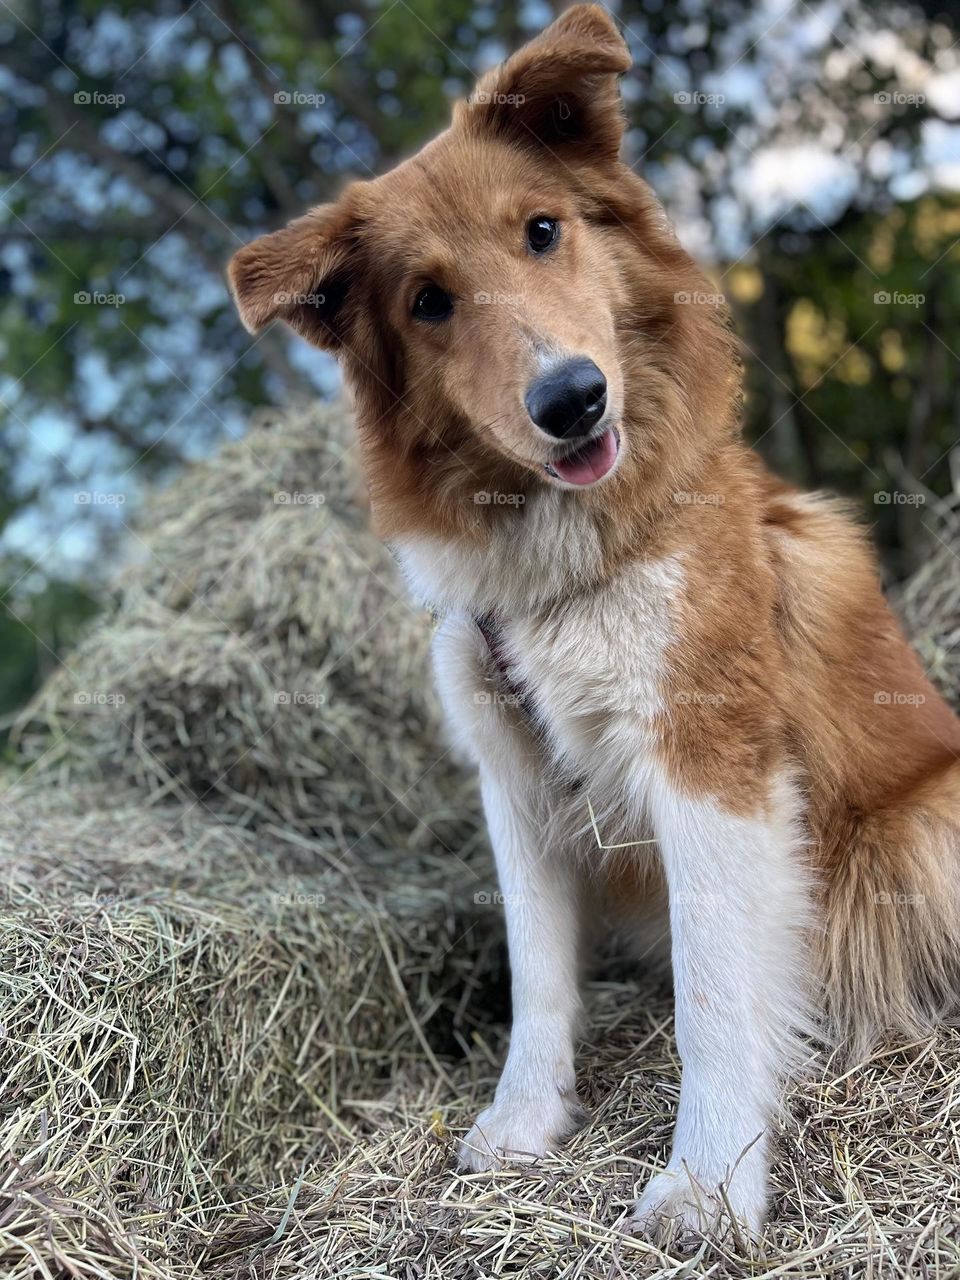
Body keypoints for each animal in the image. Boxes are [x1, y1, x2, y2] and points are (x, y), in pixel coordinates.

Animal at [229, 2, 960, 1239]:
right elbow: (538, 974)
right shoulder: (514, 776)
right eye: (427, 302)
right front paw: (526, 1118)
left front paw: (707, 1183)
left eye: (542, 231)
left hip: (919, 827)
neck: (563, 563)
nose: (570, 399)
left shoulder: (709, 757)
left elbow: (717, 988)